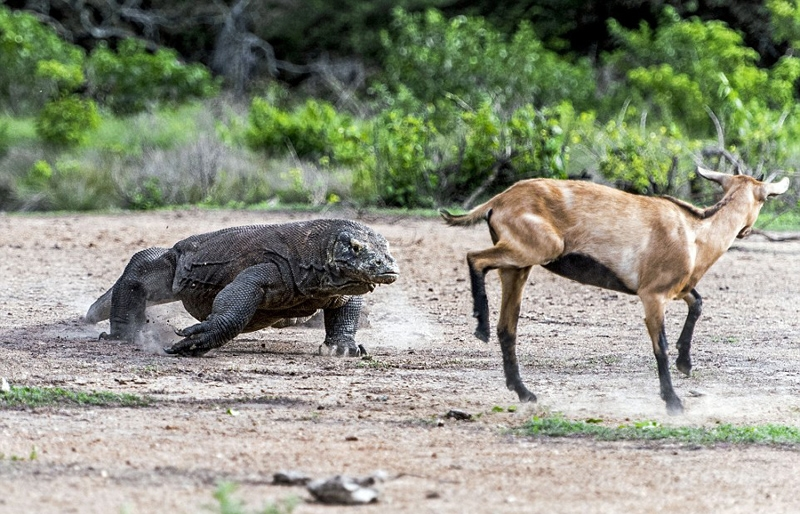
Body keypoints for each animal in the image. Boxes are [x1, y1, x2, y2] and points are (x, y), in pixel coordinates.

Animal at [440, 168, 792, 412]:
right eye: (765, 198)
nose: (745, 231)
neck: (695, 234)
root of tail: (498, 201)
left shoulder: (678, 288)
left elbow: (698, 303)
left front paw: (686, 363)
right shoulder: (652, 295)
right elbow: (660, 347)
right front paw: (673, 402)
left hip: (519, 267)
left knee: (508, 327)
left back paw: (523, 391)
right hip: (536, 249)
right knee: (475, 258)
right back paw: (481, 327)